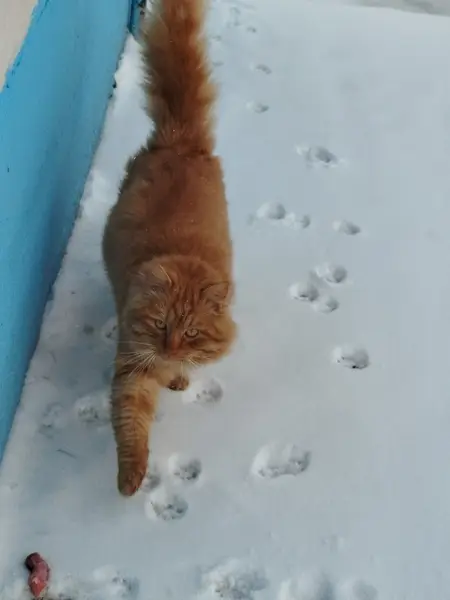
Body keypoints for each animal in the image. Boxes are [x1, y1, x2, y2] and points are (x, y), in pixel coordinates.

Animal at [102, 0, 236, 496]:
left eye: (192, 332)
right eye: (161, 325)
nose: (172, 349)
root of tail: (178, 139)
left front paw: (180, 376)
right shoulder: (132, 368)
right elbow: (131, 425)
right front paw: (130, 478)